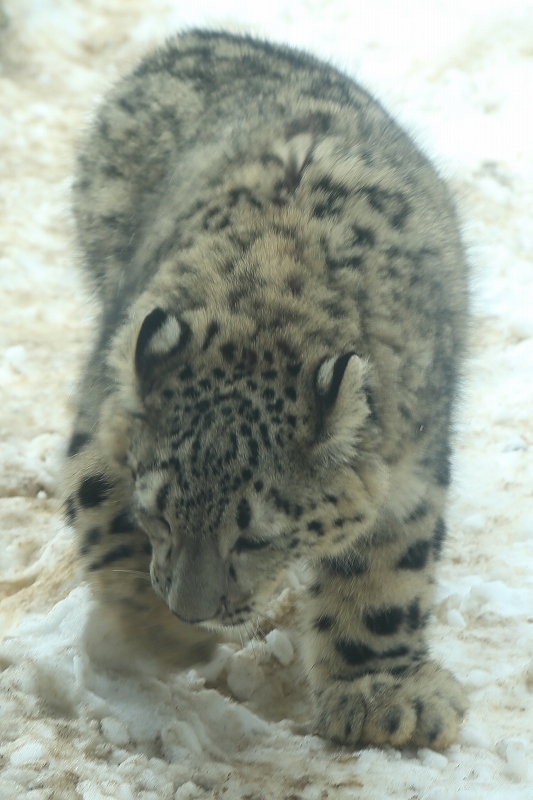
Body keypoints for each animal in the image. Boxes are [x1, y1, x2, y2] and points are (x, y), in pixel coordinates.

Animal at [64, 26, 468, 752]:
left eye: (256, 539)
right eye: (158, 513)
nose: (192, 610)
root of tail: (199, 34)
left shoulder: (410, 469)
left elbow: (388, 572)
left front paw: (383, 696)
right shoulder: (103, 414)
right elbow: (103, 509)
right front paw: (154, 636)